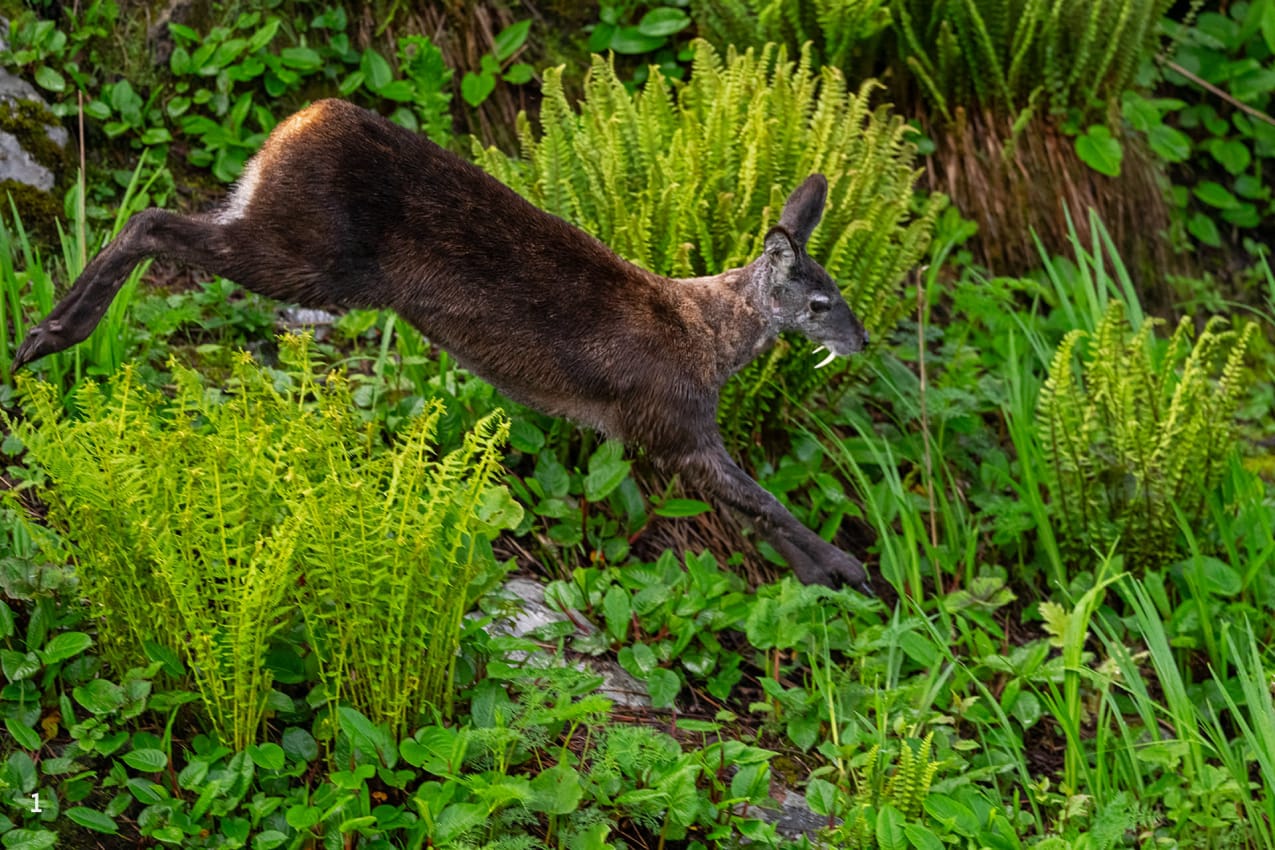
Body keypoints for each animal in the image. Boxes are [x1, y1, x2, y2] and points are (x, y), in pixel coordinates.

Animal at [11, 98, 873, 593]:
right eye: (821, 301)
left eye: (843, 293)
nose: (862, 340)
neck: (714, 341)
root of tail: (295, 123)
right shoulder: (666, 422)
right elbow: (758, 498)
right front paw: (847, 569)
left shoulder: (667, 432)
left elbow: (749, 508)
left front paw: (819, 574)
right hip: (314, 257)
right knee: (151, 217)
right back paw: (47, 336)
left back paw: (40, 337)